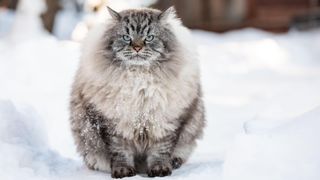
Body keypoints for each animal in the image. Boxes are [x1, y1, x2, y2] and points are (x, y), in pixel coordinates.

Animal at [69, 6, 205, 178]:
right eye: (126, 37)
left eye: (150, 37)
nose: (137, 47)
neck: (139, 81)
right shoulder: (113, 125)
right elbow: (120, 153)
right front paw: (123, 172)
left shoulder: (165, 122)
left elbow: (160, 152)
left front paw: (160, 170)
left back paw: (174, 163)